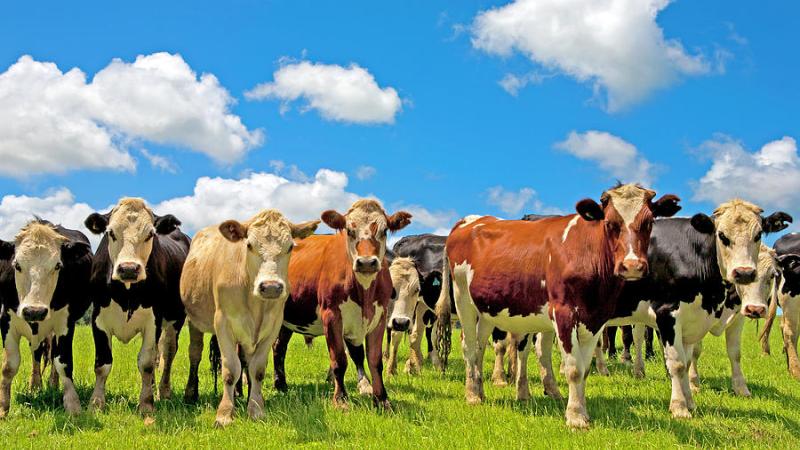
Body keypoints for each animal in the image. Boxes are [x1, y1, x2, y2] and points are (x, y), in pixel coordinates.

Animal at [0, 220, 92, 417]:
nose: (34, 311)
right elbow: (9, 366)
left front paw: (72, 405)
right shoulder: (6, 319)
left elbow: (63, 363)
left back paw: (52, 384)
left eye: (57, 265)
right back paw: (35, 385)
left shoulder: (65, 323)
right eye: (17, 265)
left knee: (52, 355)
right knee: (37, 353)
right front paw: (3, 408)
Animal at [84, 198, 190, 414]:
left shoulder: (153, 321)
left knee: (167, 353)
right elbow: (102, 364)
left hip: (175, 319)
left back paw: (163, 392)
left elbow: (147, 363)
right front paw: (96, 403)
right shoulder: (98, 320)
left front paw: (146, 403)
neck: (127, 293)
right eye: (110, 233)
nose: (129, 269)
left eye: (150, 234)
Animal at [180, 209, 318, 426]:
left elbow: (257, 370)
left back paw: (241, 394)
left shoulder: (272, 327)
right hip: (195, 321)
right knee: (195, 353)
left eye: (290, 247)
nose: (270, 287)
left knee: (244, 360)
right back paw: (191, 394)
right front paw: (225, 413)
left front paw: (255, 408)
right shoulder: (223, 324)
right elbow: (230, 370)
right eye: (249, 245)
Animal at [272, 199, 411, 409]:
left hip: (286, 320)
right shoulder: (332, 316)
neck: (364, 293)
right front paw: (341, 399)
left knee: (279, 348)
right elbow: (339, 359)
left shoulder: (379, 317)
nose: (366, 262)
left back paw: (281, 384)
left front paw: (381, 399)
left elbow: (374, 360)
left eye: (384, 230)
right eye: (349, 230)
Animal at [435, 183, 681, 428]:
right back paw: (472, 395)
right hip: (462, 298)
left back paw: (479, 390)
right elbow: (573, 368)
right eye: (610, 223)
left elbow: (585, 368)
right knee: (468, 345)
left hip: (486, 309)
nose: (632, 266)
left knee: (479, 345)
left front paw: (581, 410)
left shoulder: (596, 318)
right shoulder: (563, 313)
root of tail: (470, 220)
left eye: (648, 222)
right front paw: (575, 417)